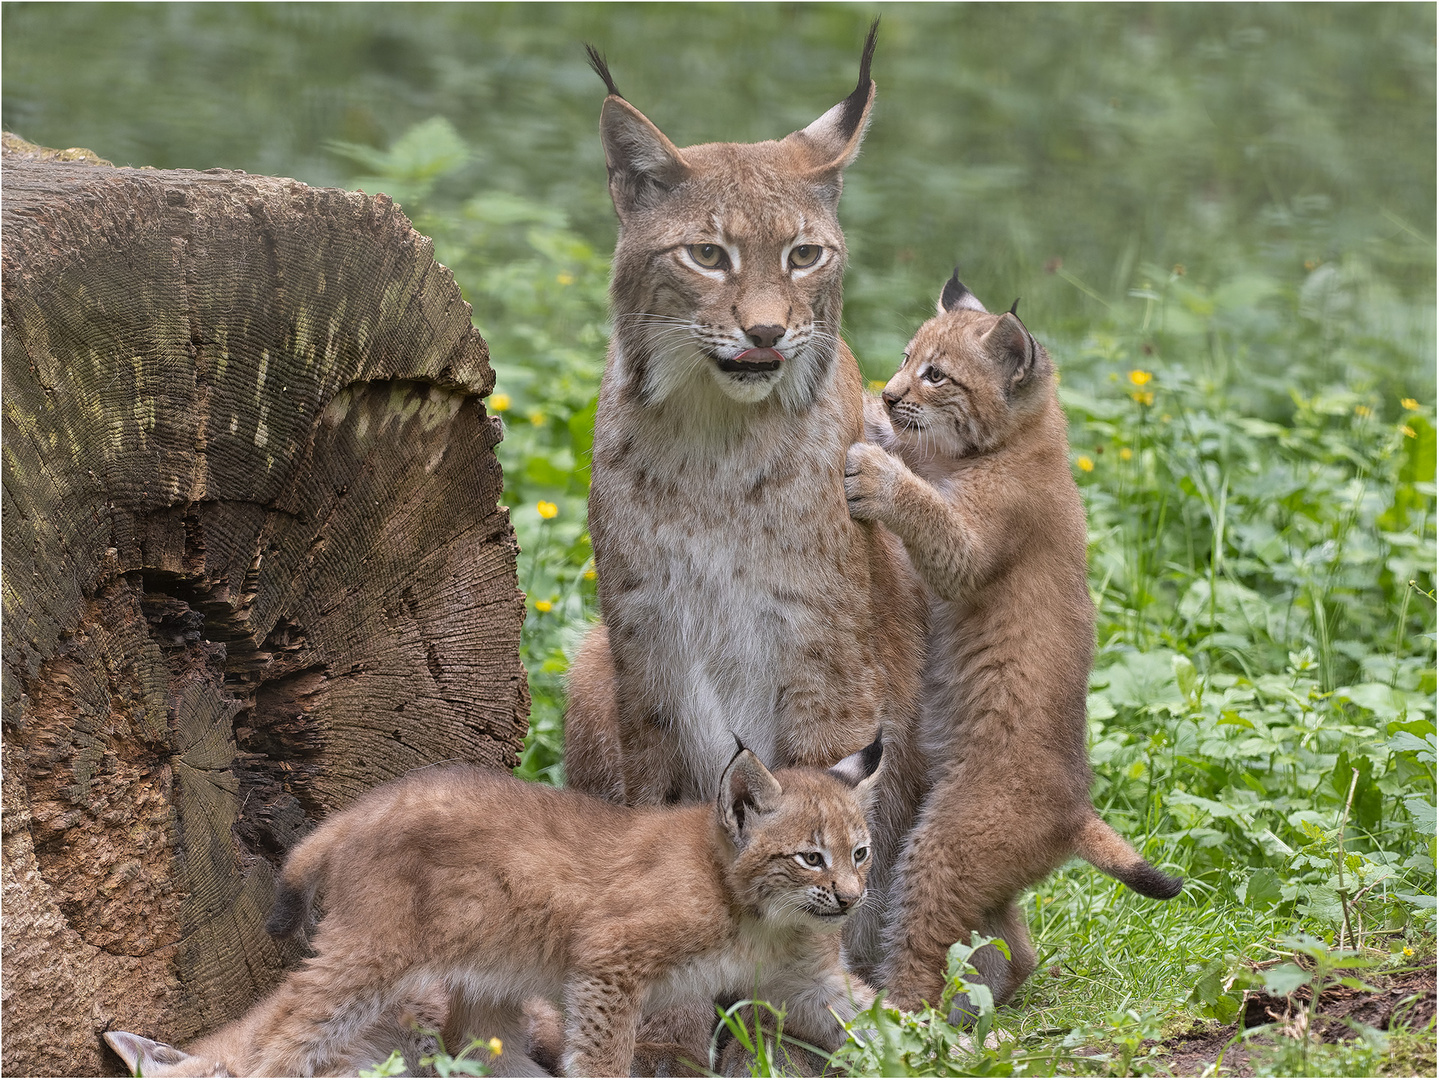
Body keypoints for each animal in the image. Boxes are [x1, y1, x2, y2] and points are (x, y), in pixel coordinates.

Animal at [104, 742, 874, 1080]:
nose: (850, 900)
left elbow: (874, 1014)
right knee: (293, 1024)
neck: (757, 909)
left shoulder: (808, 978)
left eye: (860, 853)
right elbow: (601, 1061)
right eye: (811, 858)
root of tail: (365, 803)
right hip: (377, 952)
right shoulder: (607, 961)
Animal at [840, 274, 1179, 1018]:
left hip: (947, 838)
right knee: (1011, 948)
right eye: (905, 359)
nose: (889, 393)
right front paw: (871, 418)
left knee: (927, 944)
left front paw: (876, 472)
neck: (1024, 436)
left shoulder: (968, 547)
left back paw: (896, 1015)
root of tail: (1075, 810)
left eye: (935, 375)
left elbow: (926, 511)